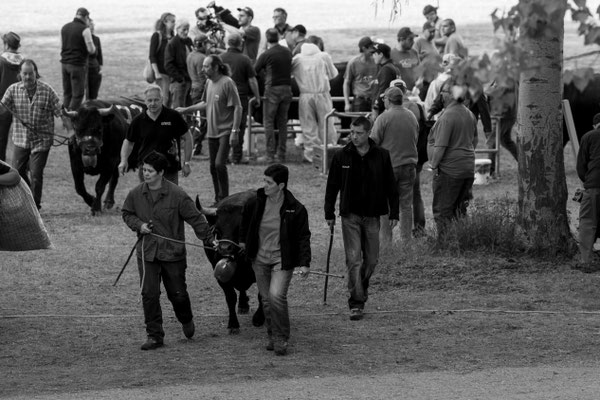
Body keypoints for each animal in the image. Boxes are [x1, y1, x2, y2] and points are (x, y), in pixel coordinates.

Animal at [196, 191, 264, 334]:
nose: (224, 248)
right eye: (217, 230)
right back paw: (243, 304)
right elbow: (230, 298)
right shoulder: (221, 277)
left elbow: (262, 295)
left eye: (240, 228)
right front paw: (233, 324)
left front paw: (259, 318)